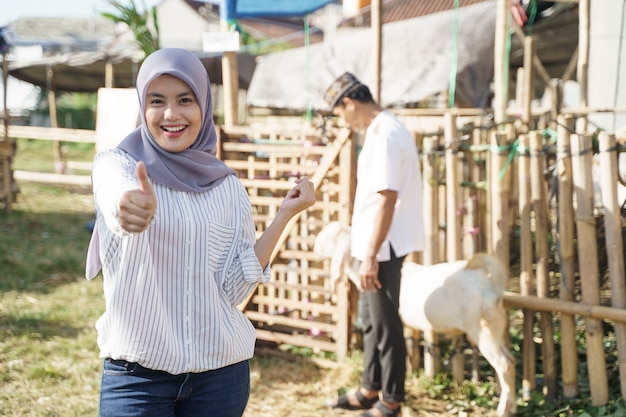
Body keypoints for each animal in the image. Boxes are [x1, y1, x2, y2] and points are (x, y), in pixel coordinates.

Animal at [314, 223, 516, 414]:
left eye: (328, 237)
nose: (314, 249)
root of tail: (489, 284)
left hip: (482, 330)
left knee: (504, 365)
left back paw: (503, 409)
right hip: (495, 328)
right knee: (511, 360)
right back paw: (512, 405)